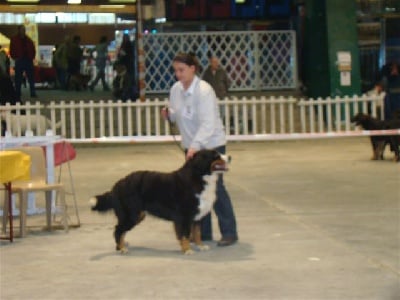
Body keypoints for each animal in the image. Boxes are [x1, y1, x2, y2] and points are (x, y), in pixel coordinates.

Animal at [89, 149, 230, 254]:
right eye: (215, 155)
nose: (229, 157)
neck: (199, 177)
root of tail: (117, 185)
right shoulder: (184, 216)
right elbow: (184, 235)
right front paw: (187, 250)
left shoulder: (197, 217)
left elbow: (197, 233)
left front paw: (201, 246)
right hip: (132, 214)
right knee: (118, 230)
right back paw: (122, 248)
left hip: (137, 215)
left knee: (121, 230)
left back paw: (122, 245)